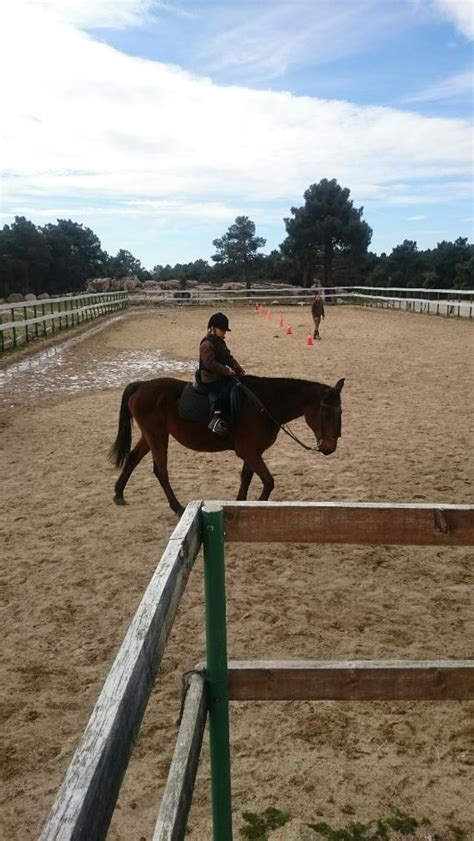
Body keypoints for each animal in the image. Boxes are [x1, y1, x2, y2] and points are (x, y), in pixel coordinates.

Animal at [110, 372, 344, 516]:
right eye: (325, 413)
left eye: (340, 412)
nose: (329, 448)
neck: (263, 405)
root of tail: (141, 385)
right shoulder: (249, 451)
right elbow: (268, 482)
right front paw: (258, 504)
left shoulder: (253, 452)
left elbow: (246, 478)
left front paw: (241, 503)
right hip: (157, 435)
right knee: (161, 471)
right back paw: (177, 507)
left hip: (150, 435)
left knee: (133, 458)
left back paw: (119, 493)